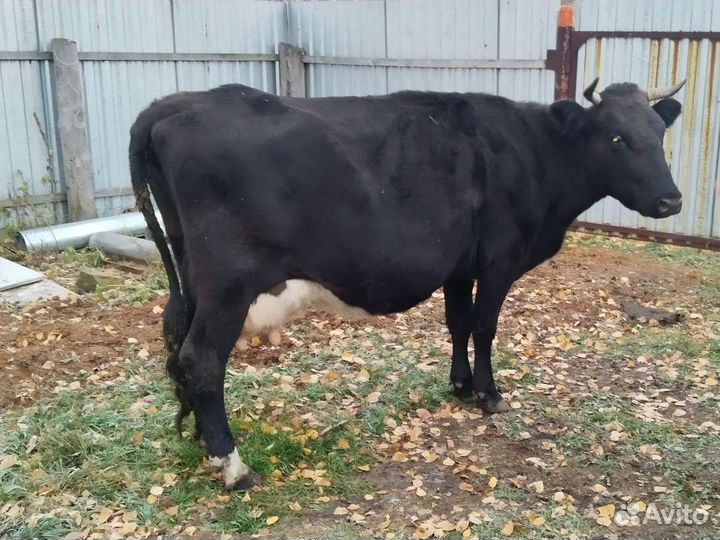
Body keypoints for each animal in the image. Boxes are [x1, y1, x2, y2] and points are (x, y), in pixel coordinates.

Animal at [130, 78, 685, 490]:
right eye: (616, 138)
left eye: (659, 134)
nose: (671, 200)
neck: (533, 152)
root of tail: (176, 103)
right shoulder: (499, 262)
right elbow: (485, 327)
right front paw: (489, 393)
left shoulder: (460, 267)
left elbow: (458, 323)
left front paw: (460, 386)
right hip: (227, 283)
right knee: (202, 359)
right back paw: (233, 466)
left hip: (192, 276)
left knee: (179, 345)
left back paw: (199, 440)